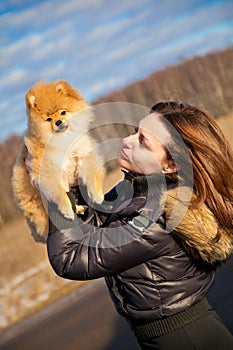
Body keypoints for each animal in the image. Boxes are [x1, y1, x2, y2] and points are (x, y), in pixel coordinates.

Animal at [11, 80, 104, 242]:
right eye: (48, 119)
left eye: (63, 112)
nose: (58, 122)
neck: (63, 139)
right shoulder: (47, 170)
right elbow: (59, 192)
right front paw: (67, 208)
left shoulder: (83, 154)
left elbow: (91, 175)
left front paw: (97, 195)